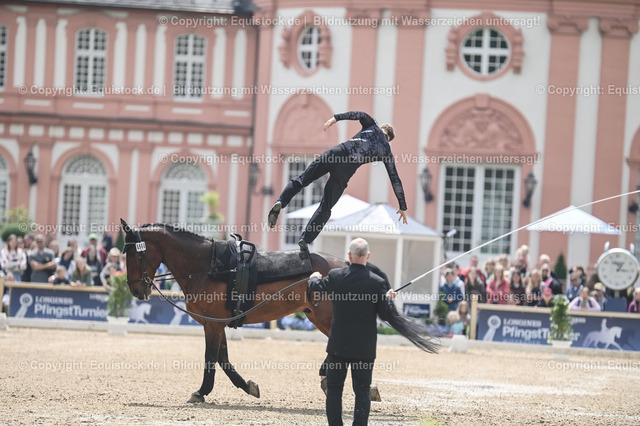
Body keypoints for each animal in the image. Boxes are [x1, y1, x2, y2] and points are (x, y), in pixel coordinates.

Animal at [120, 220, 438, 404]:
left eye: (132, 252)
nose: (136, 290)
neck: (210, 266)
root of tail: (348, 265)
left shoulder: (213, 325)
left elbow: (212, 359)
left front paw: (201, 392)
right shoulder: (218, 324)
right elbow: (224, 359)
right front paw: (247, 386)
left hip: (327, 317)